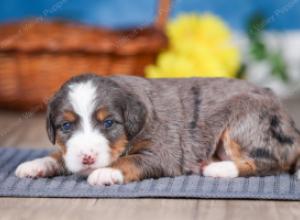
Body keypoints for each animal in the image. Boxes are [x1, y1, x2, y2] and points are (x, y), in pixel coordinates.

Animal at [15, 74, 300, 186]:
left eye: (108, 123)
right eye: (65, 126)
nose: (87, 158)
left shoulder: (163, 153)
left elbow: (131, 160)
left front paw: (106, 172)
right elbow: (59, 155)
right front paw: (35, 164)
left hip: (245, 119)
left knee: (269, 162)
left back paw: (219, 168)